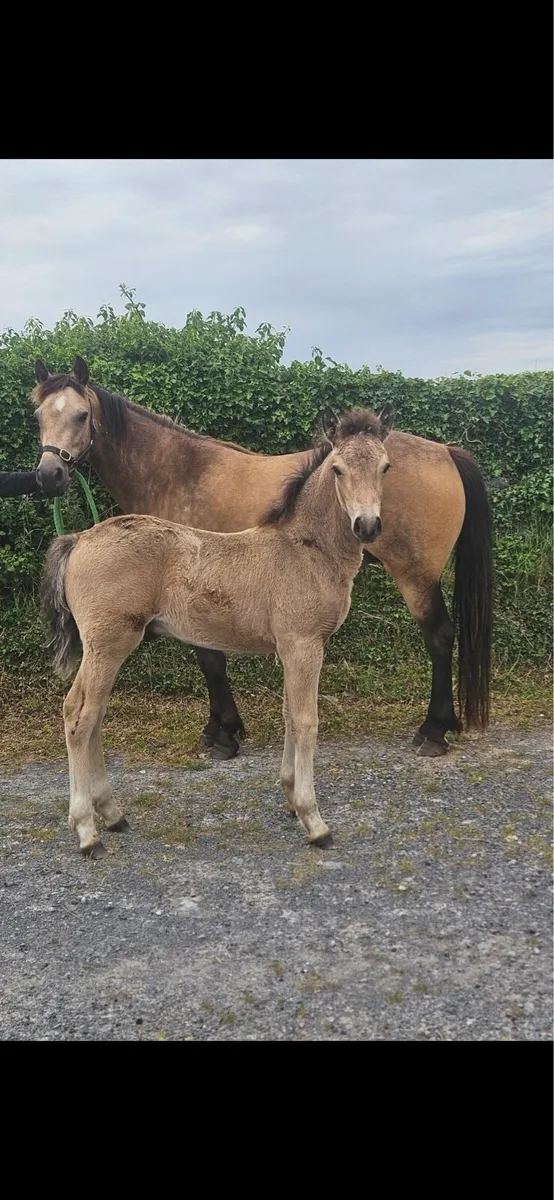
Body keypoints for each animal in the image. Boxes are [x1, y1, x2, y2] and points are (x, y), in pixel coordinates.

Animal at [33, 357, 493, 760]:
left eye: (81, 416)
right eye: (37, 415)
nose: (49, 475)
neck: (179, 472)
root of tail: (447, 451)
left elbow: (210, 659)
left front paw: (222, 735)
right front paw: (222, 729)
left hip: (416, 575)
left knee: (440, 636)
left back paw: (433, 731)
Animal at [40, 407, 392, 858]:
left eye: (385, 467)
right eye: (338, 469)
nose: (367, 525)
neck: (304, 548)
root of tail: (80, 537)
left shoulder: (290, 648)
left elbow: (288, 715)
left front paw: (290, 798)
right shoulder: (304, 644)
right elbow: (306, 721)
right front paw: (314, 821)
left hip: (106, 648)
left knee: (93, 715)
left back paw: (113, 815)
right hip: (107, 644)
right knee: (79, 716)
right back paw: (87, 831)